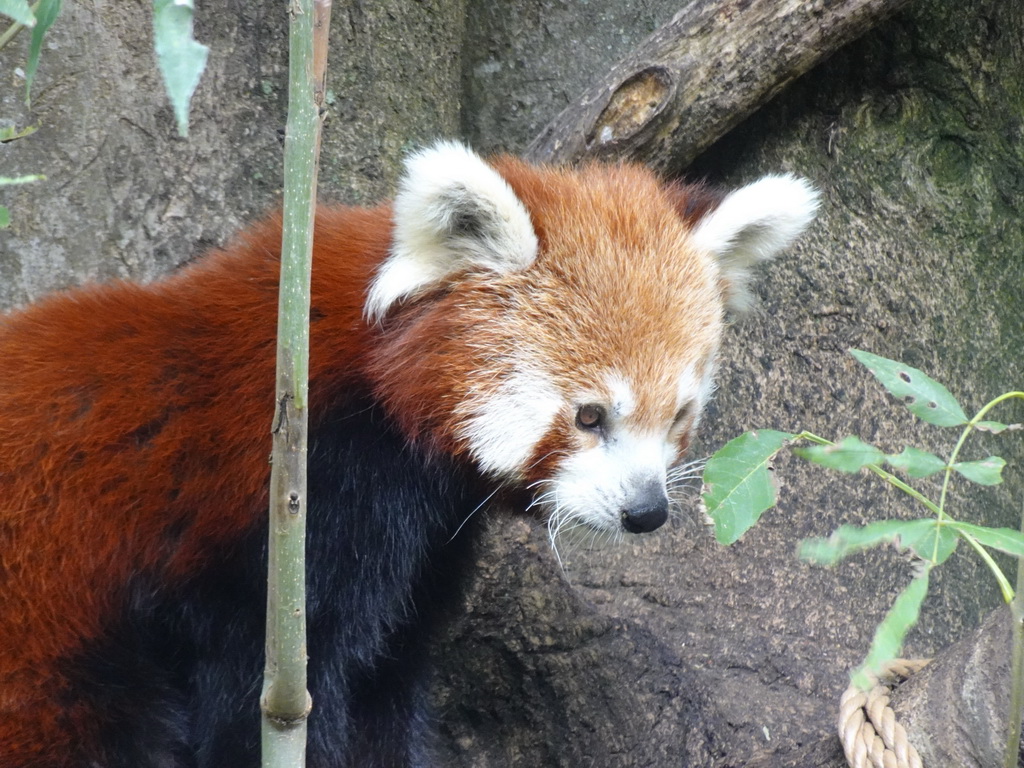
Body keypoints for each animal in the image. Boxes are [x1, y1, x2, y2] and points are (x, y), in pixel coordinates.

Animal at [0, 141, 815, 765]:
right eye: (589, 416)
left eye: (677, 415)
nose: (646, 512)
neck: (374, 386)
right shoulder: (292, 521)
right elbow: (265, 701)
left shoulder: (421, 543)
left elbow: (386, 677)